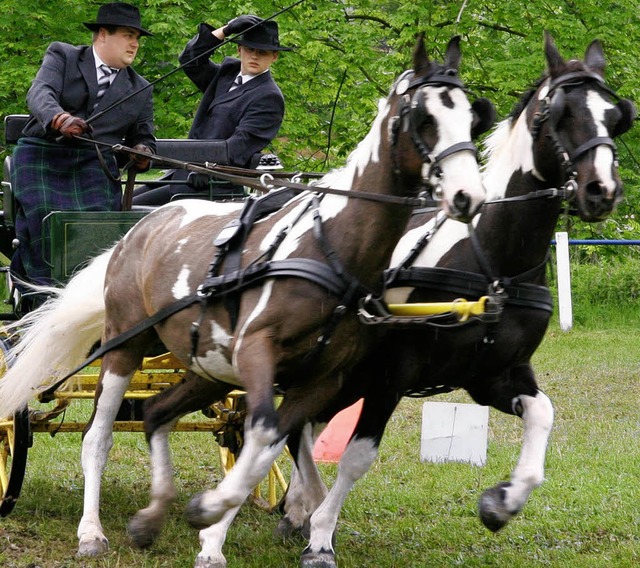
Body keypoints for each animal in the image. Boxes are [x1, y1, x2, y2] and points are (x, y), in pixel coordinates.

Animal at [0, 36, 496, 568]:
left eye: (472, 118)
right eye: (423, 118)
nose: (468, 196)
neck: (329, 247)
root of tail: (136, 230)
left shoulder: (318, 378)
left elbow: (270, 443)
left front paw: (276, 521)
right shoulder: (257, 351)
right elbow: (265, 436)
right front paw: (223, 527)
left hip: (201, 365)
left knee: (157, 412)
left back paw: (154, 515)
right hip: (123, 344)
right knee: (98, 436)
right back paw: (91, 533)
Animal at [274, 32, 636, 568]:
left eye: (615, 116)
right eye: (560, 114)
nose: (601, 191)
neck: (494, 262)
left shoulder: (494, 376)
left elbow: (543, 416)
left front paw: (501, 503)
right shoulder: (392, 373)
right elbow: (358, 457)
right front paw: (321, 537)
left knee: (302, 426)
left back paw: (295, 507)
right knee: (297, 427)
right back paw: (305, 509)